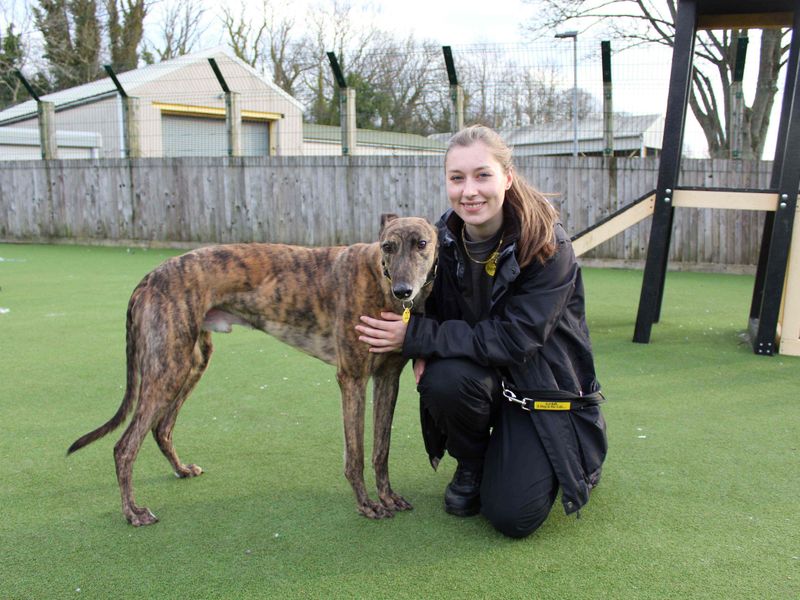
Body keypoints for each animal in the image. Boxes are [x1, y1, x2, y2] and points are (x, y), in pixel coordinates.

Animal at [67, 216, 438, 524]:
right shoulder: (352, 378)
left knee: (162, 428)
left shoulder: (388, 378)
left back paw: (181, 470)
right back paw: (132, 512)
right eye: (387, 246)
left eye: (422, 243)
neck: (378, 278)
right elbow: (356, 454)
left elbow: (381, 449)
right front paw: (366, 505)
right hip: (168, 367)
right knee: (125, 446)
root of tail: (148, 278)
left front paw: (388, 497)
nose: (403, 291)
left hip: (192, 361)